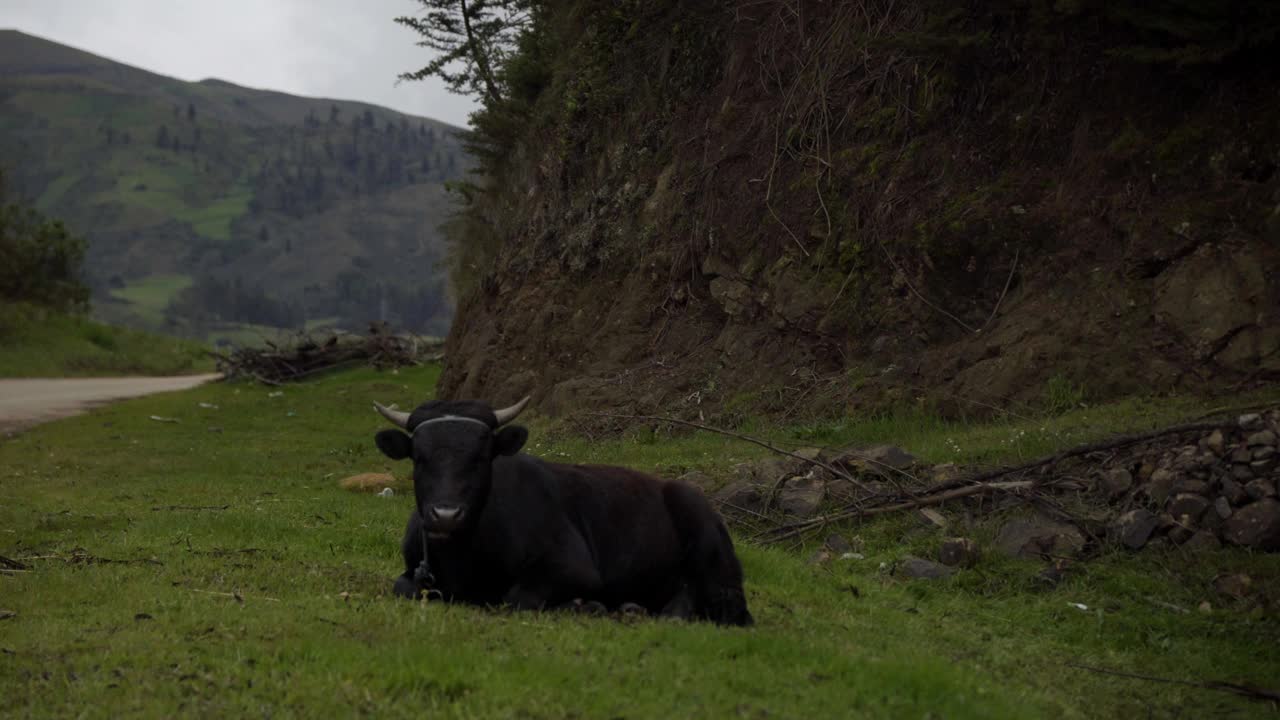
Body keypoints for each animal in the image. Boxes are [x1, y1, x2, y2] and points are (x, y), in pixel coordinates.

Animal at [371, 392, 747, 622]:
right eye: (419, 458)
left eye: (480, 457)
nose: (446, 516)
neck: (465, 557)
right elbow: (403, 587)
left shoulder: (573, 566)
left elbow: (517, 597)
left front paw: (583, 605)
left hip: (709, 547)